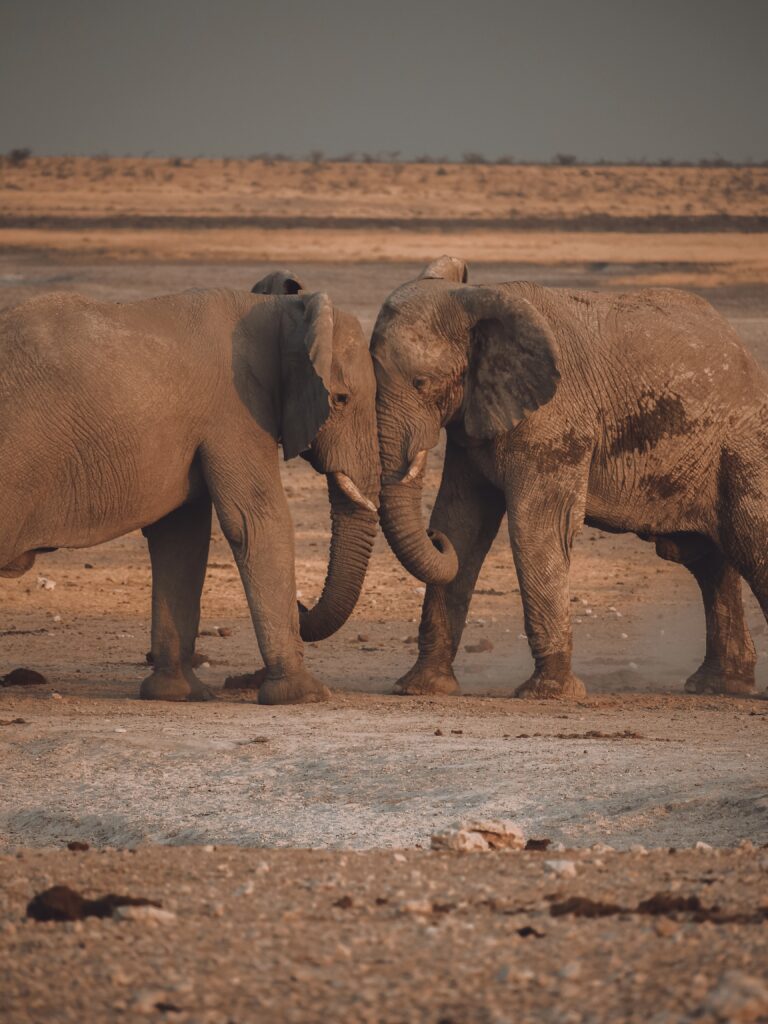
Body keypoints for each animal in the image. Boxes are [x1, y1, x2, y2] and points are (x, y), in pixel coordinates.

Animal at [0, 280, 379, 704]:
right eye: (341, 399)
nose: (302, 603)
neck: (275, 309)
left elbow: (181, 538)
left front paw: (176, 693)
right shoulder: (236, 412)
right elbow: (257, 522)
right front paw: (304, 695)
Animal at [371, 255, 765, 700]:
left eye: (421, 383)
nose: (431, 538)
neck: (477, 299)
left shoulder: (554, 421)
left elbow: (537, 528)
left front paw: (547, 693)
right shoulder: (474, 419)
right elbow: (461, 524)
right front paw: (421, 688)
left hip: (742, 442)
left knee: (750, 540)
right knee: (708, 560)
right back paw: (718, 685)